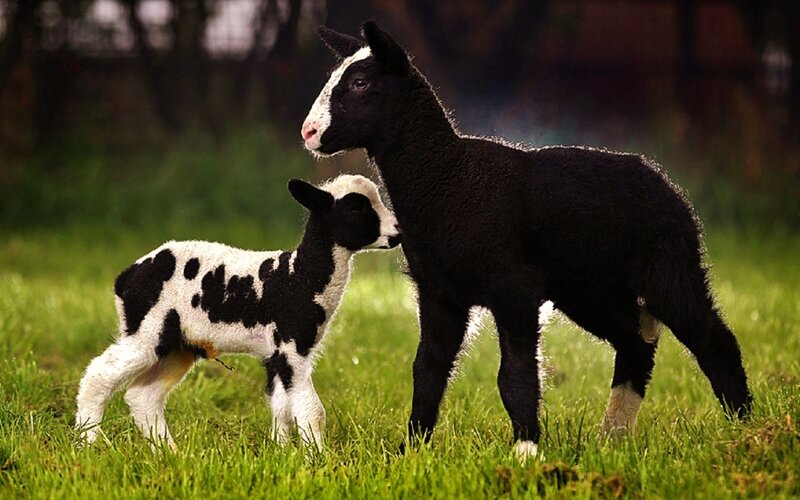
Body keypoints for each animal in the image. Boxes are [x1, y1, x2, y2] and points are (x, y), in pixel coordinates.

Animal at [75, 175, 401, 450]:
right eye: (356, 208)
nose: (397, 233)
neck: (301, 276)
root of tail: (126, 277)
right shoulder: (292, 344)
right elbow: (311, 409)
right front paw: (318, 461)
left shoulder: (276, 353)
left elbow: (281, 406)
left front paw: (282, 454)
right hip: (146, 330)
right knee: (99, 375)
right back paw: (87, 443)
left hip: (180, 345)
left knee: (143, 395)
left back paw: (170, 454)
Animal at [301, 22, 753, 460]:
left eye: (360, 83)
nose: (308, 132)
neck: (446, 176)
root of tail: (663, 180)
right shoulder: (439, 291)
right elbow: (428, 368)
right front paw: (410, 450)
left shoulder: (513, 288)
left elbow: (515, 375)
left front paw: (526, 450)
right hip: (590, 290)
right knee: (635, 347)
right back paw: (613, 438)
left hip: (669, 267)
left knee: (715, 341)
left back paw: (744, 429)